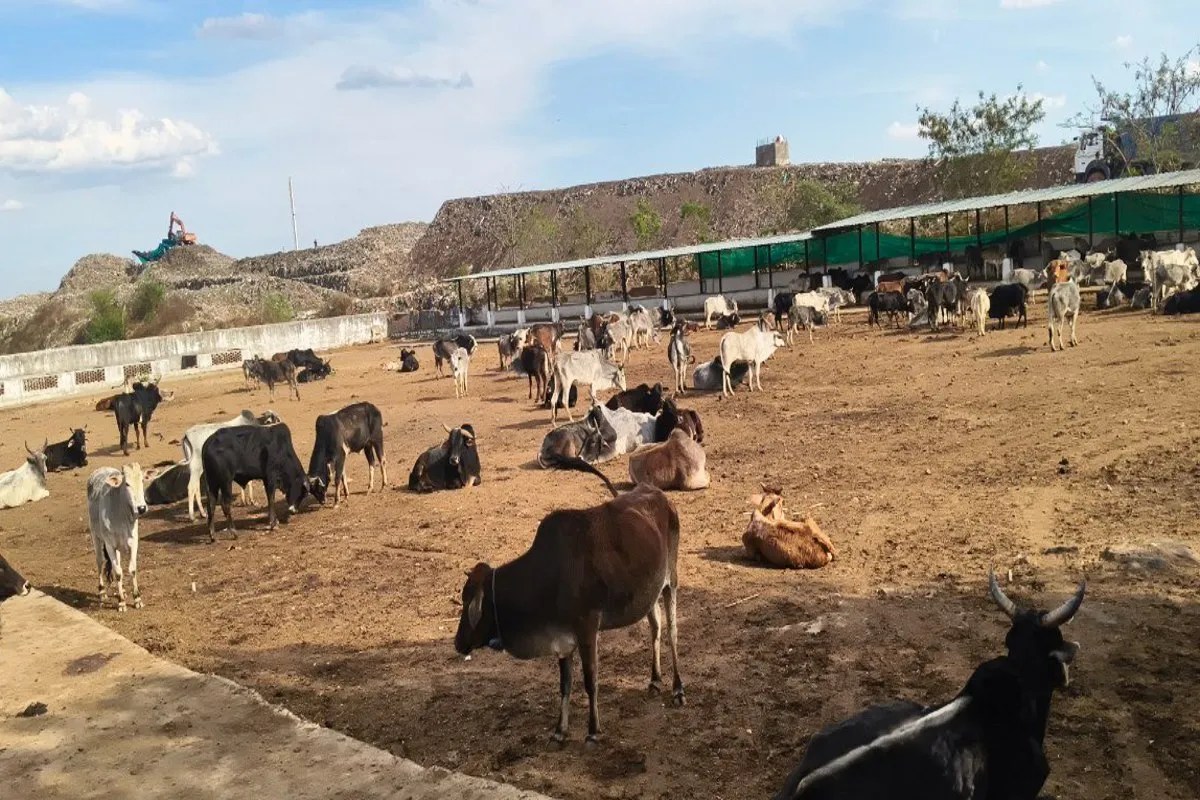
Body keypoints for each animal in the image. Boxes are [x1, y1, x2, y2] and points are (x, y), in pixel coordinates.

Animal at [87, 463, 156, 611]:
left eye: (142, 480)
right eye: (127, 484)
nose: (141, 508)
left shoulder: (133, 542)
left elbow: (131, 569)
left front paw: (137, 599)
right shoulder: (109, 544)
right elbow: (118, 572)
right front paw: (121, 602)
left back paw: (123, 590)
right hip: (96, 536)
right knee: (100, 562)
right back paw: (102, 592)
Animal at [453, 478, 684, 743]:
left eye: (469, 603)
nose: (458, 642)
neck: (550, 577)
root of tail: (658, 494)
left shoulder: (587, 627)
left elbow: (590, 680)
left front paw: (593, 730)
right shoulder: (562, 639)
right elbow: (565, 684)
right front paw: (560, 729)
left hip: (670, 582)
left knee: (672, 633)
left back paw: (678, 688)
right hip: (649, 593)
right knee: (655, 627)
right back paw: (655, 680)